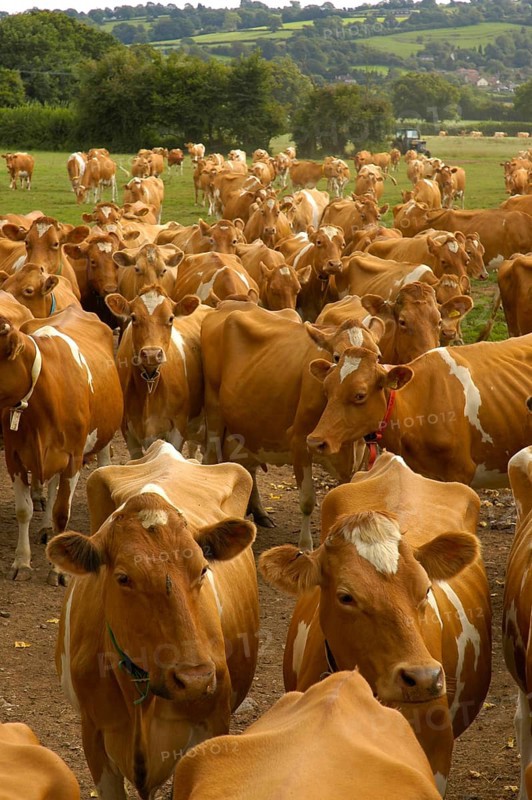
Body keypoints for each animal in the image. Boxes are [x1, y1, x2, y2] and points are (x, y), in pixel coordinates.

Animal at [1, 305, 123, 583]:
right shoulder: (14, 457)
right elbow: (24, 510)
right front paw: (21, 563)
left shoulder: (73, 458)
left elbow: (62, 512)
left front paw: (57, 570)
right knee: (53, 486)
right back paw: (45, 529)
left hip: (103, 435)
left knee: (102, 464)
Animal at [202, 304, 381, 548]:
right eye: (336, 356)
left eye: (378, 356)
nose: (360, 389)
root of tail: (228, 306)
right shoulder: (300, 441)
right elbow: (307, 500)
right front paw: (305, 546)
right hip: (214, 411)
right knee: (210, 459)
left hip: (249, 424)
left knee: (247, 467)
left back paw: (260, 512)